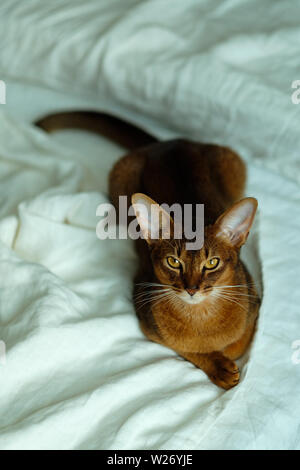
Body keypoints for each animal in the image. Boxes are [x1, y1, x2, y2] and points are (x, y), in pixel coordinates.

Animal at [36, 111, 258, 390]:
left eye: (212, 263)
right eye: (174, 262)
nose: (192, 289)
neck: (200, 316)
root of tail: (167, 143)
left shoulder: (254, 300)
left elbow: (239, 343)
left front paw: (225, 355)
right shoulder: (148, 322)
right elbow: (186, 348)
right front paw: (219, 365)